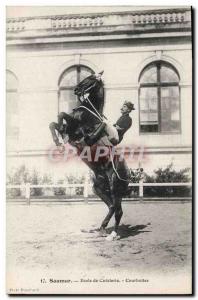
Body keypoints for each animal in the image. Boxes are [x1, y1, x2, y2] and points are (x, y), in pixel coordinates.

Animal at [50, 73, 135, 241]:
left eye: (90, 78)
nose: (76, 89)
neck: (90, 112)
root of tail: (128, 175)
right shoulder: (71, 128)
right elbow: (55, 122)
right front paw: (58, 140)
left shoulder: (83, 135)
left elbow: (62, 116)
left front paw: (60, 138)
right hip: (99, 188)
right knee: (113, 207)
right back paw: (102, 229)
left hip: (115, 187)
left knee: (117, 209)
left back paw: (112, 234)